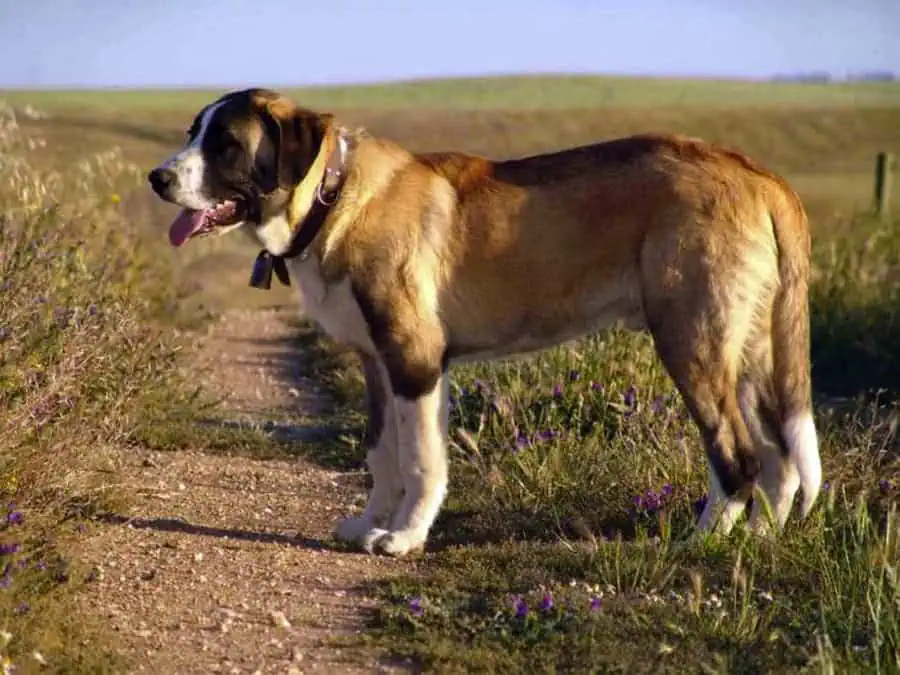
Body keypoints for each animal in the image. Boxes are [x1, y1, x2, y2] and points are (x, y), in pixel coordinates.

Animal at [149, 87, 824, 556]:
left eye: (226, 144)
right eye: (193, 133)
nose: (157, 178)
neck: (331, 197)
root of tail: (759, 175)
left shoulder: (415, 361)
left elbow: (420, 459)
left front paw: (403, 538)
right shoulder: (377, 364)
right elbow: (381, 454)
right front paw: (370, 523)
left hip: (692, 341)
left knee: (737, 455)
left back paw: (702, 541)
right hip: (749, 354)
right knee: (779, 459)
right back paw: (761, 541)